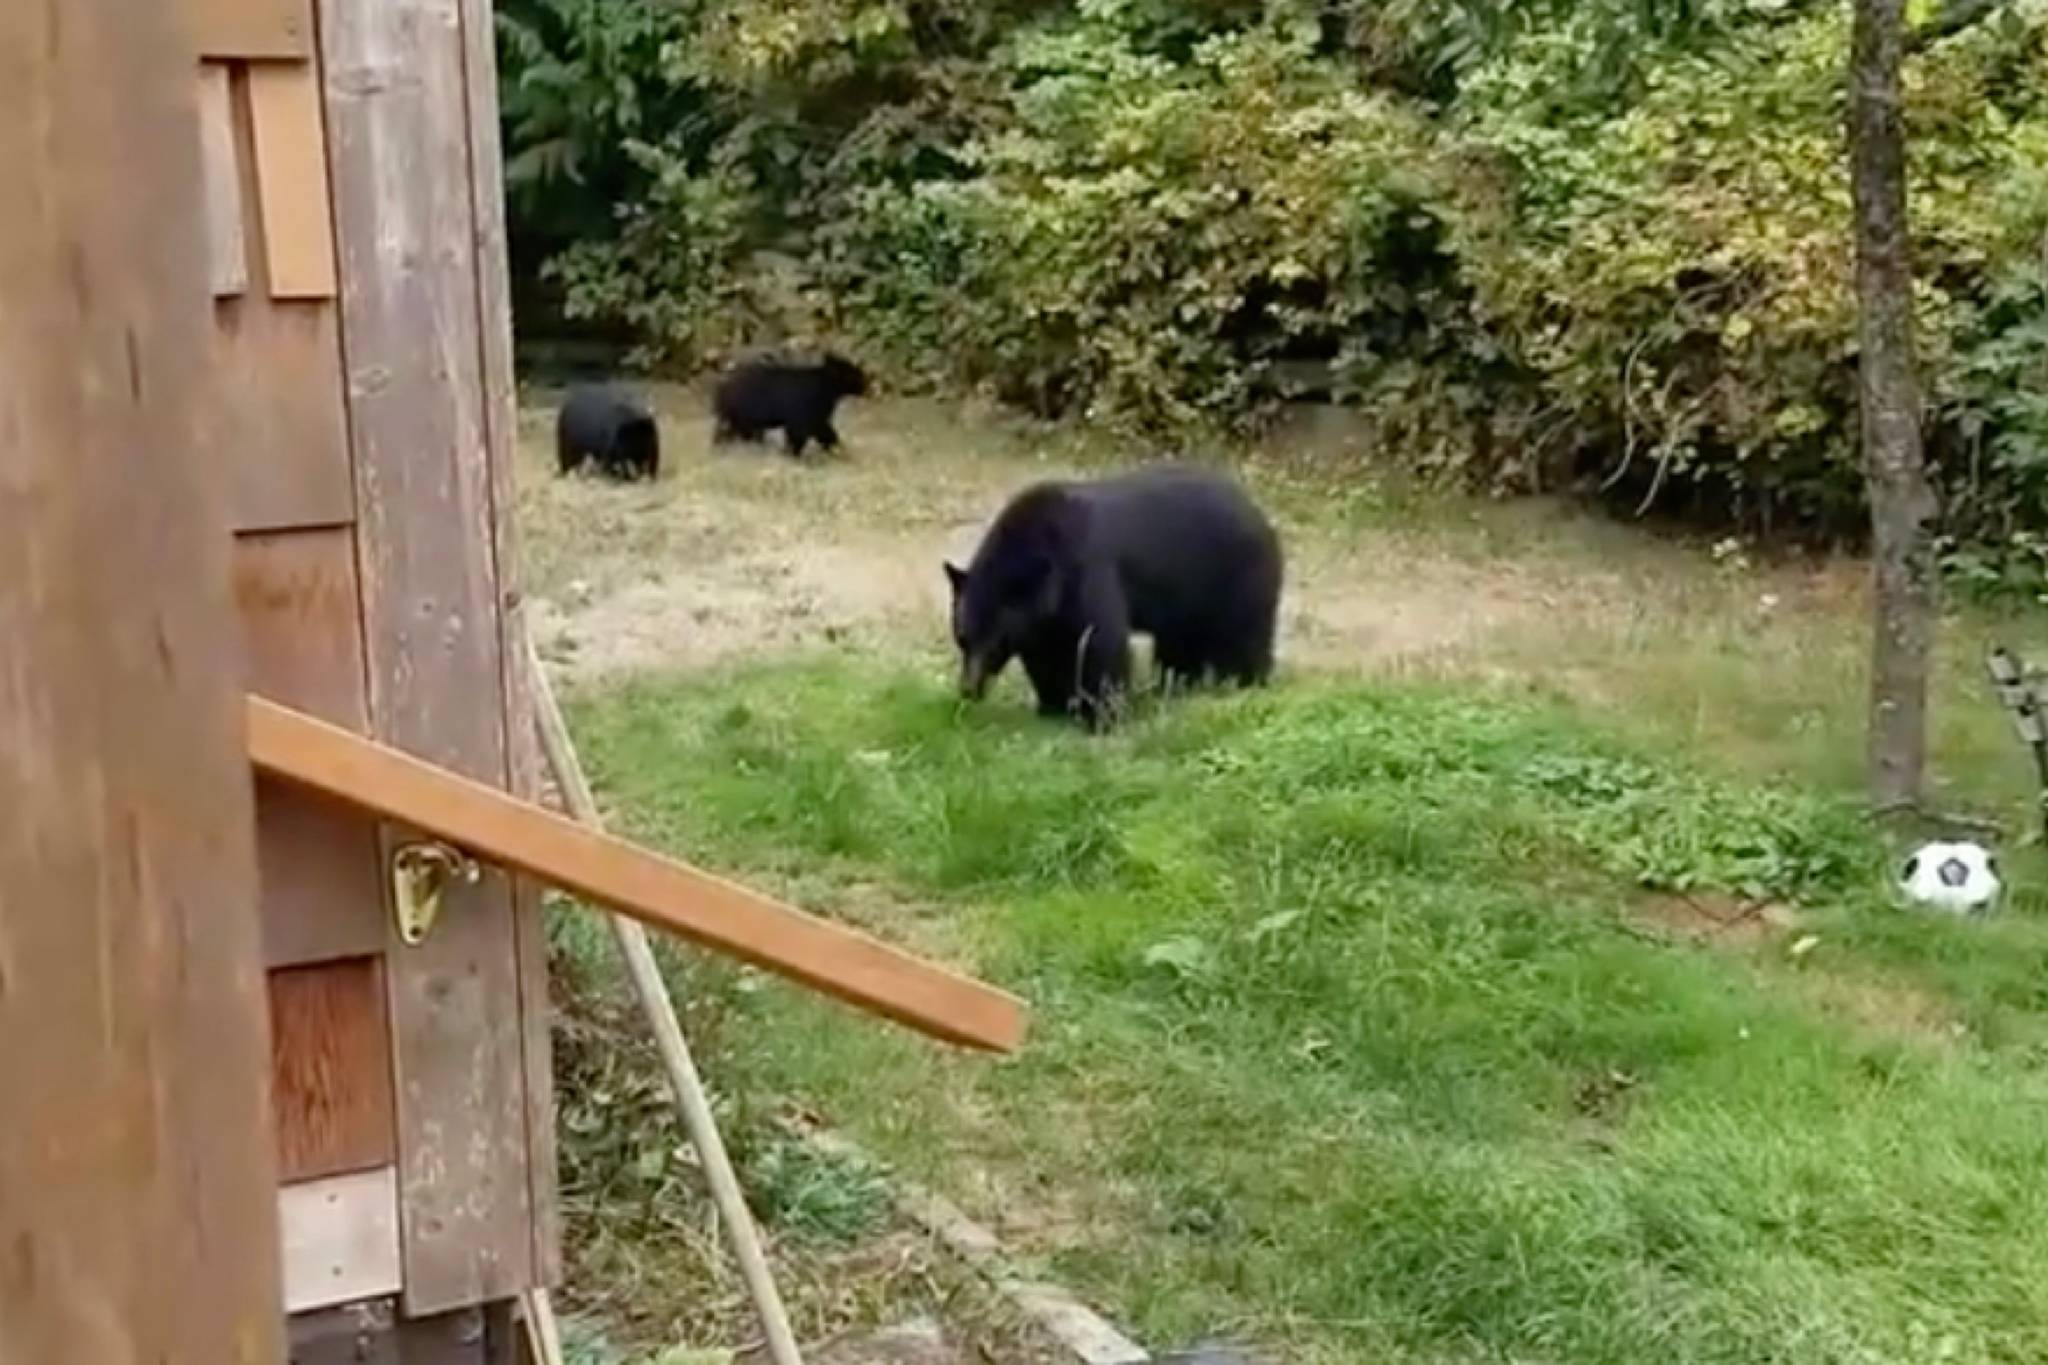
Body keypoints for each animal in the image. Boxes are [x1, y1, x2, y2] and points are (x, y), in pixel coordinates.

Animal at [712, 351, 864, 458]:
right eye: (852, 373)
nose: (866, 384)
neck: (827, 388)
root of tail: (723, 384)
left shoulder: (817, 415)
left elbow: (825, 431)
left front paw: (838, 450)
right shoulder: (805, 411)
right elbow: (800, 434)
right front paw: (792, 454)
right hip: (742, 410)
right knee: (736, 430)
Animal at [942, 464, 1277, 732]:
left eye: (996, 642)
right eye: (962, 637)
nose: (968, 689)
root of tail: (1259, 514)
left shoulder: (1088, 570)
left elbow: (1100, 643)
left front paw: (1103, 716)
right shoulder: (1043, 620)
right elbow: (1047, 654)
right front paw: (1053, 705)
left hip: (1237, 580)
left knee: (1244, 638)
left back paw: (1244, 682)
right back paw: (1177, 685)